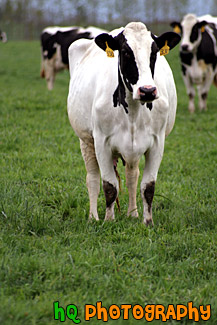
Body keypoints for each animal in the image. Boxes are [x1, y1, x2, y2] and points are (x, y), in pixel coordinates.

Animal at [67, 21, 180, 224]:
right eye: (126, 52)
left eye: (154, 52)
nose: (147, 90)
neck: (133, 113)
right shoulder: (101, 142)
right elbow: (109, 185)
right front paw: (108, 221)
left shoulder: (157, 142)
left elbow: (148, 186)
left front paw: (147, 222)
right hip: (85, 140)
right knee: (92, 178)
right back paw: (93, 218)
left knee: (132, 177)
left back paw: (132, 213)